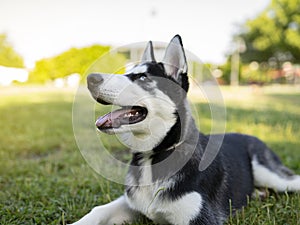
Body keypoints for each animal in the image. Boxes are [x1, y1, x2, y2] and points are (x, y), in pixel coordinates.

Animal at [72, 34, 300, 224]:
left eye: (143, 78)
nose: (90, 78)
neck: (154, 156)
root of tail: (250, 136)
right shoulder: (131, 203)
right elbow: (99, 210)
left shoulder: (200, 219)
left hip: (272, 175)